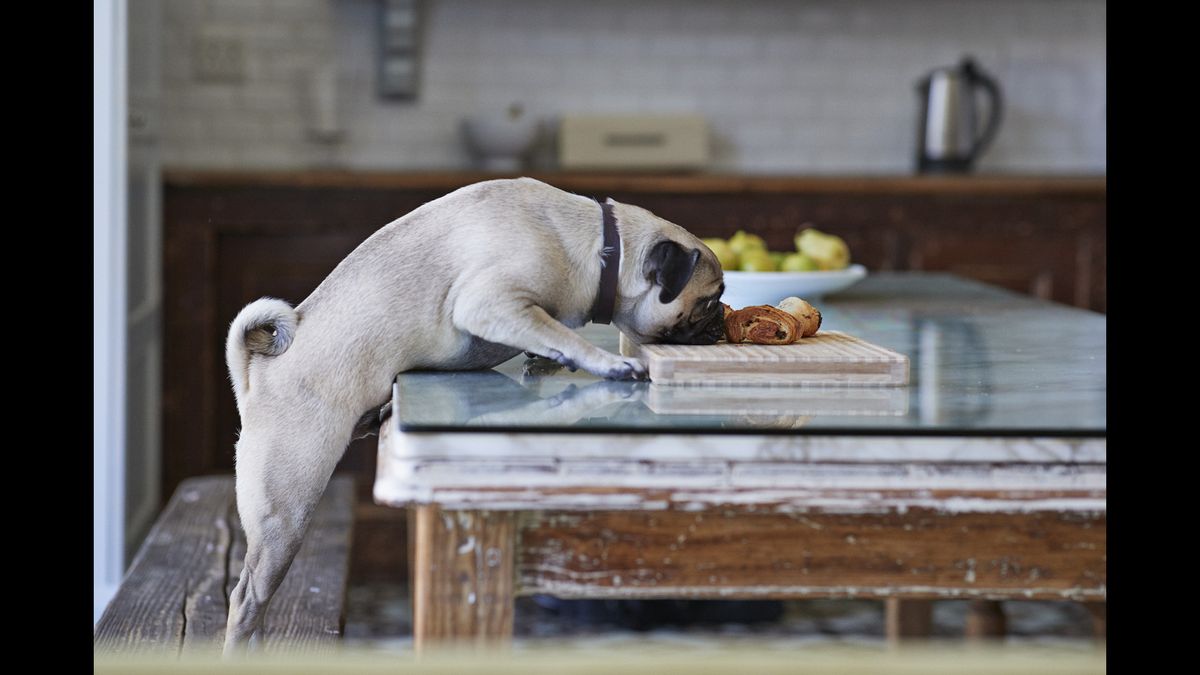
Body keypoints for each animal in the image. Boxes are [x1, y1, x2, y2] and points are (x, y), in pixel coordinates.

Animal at [223, 176, 720, 648]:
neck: (602, 251)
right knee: (247, 598)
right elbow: (561, 333)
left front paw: (547, 360)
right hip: (286, 513)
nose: (719, 321)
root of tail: (257, 374)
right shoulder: (492, 304)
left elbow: (549, 337)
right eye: (708, 300)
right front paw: (606, 362)